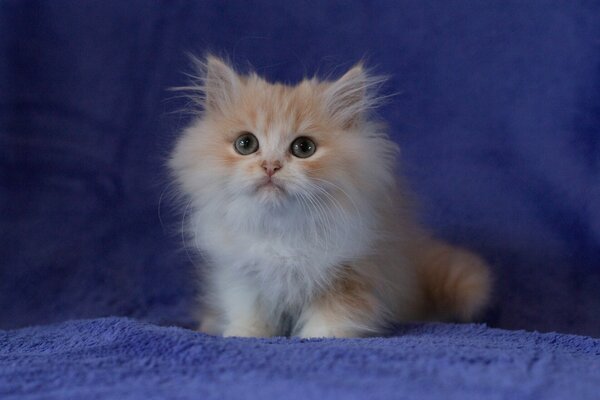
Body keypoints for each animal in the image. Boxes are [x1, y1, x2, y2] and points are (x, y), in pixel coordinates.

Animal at [169, 55, 492, 338]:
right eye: (245, 143)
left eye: (303, 148)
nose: (271, 166)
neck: (281, 230)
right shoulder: (241, 273)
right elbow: (250, 309)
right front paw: (243, 334)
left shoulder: (351, 273)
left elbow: (334, 315)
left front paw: (319, 337)